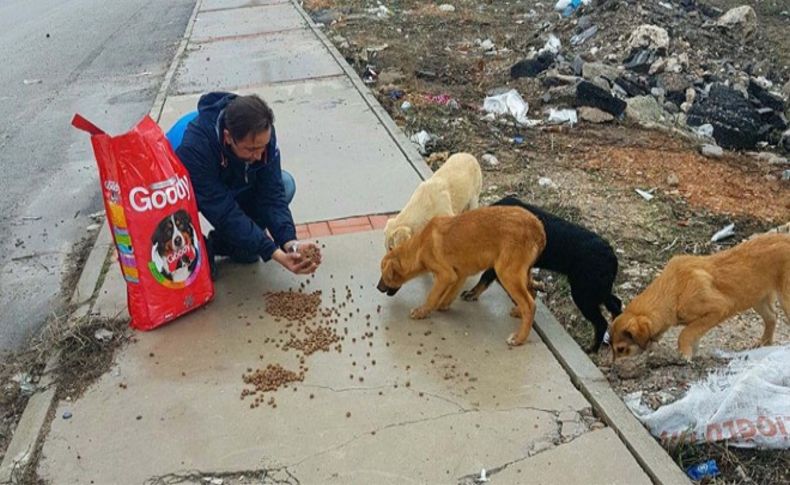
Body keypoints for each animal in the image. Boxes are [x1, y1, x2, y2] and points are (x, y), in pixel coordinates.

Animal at [376, 206, 548, 346]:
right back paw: (518, 312)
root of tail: (538, 227)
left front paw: (421, 312)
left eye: (383, 274)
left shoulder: (445, 274)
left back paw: (519, 338)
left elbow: (432, 296)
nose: (378, 288)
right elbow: (447, 295)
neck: (419, 246)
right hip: (522, 272)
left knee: (530, 305)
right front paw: (443, 305)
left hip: (506, 272)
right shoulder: (459, 274)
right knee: (532, 293)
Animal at [460, 196, 620, 352]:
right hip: (597, 290)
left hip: (584, 293)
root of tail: (611, 255)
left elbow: (485, 278)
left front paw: (471, 294)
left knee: (601, 322)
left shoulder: (501, 263)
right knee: (616, 303)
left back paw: (591, 349)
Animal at [612, 233, 790, 362]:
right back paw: (765, 343)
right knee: (772, 317)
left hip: (784, 299)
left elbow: (685, 333)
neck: (673, 290)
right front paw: (692, 354)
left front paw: (684, 355)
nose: (613, 370)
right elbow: (693, 334)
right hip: (757, 297)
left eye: (621, 349)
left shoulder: (719, 308)